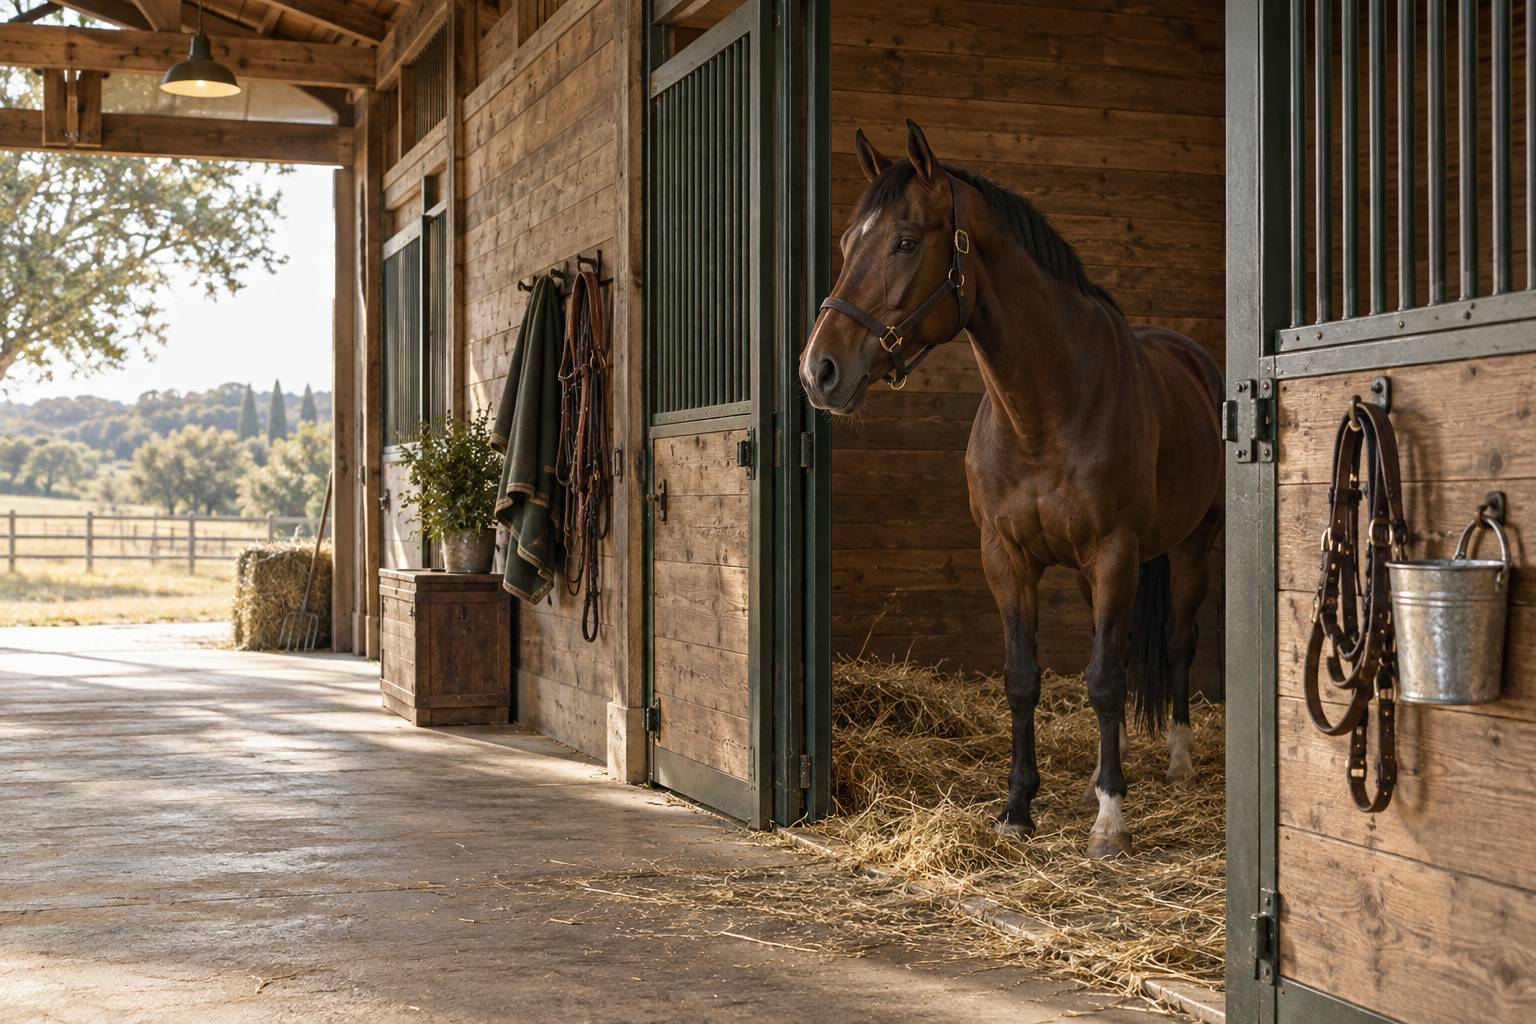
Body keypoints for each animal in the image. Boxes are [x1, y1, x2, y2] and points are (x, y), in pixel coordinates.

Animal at [799, 120, 1223, 859]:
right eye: (850, 242)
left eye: (905, 240)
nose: (818, 370)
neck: (1045, 412)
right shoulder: (1006, 557)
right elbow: (1025, 679)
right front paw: (1019, 807)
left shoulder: (1114, 552)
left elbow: (1105, 680)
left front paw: (1111, 819)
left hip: (1193, 546)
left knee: (1175, 642)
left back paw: (1176, 759)